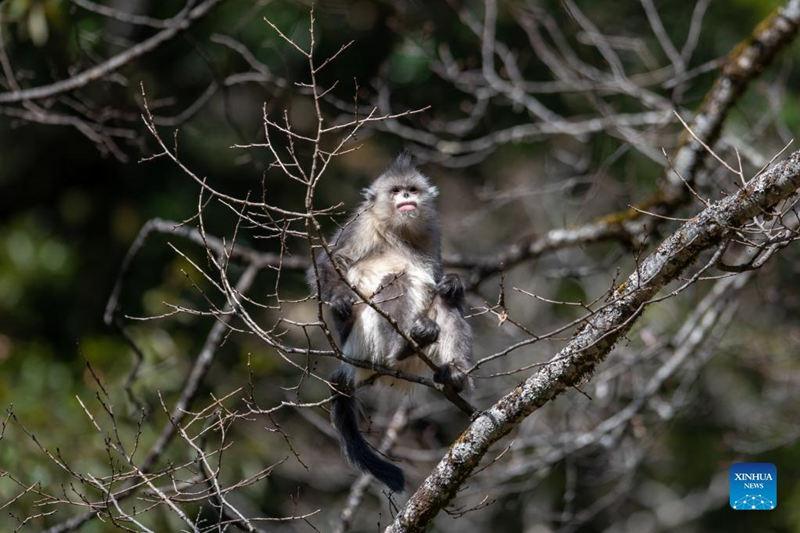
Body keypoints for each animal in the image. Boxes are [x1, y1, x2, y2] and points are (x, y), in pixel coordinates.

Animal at [310, 153, 472, 490]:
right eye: (396, 190)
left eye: (412, 189)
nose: (407, 197)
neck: (399, 231)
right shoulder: (361, 224)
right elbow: (331, 263)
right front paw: (340, 301)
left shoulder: (432, 231)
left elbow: (439, 281)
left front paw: (453, 282)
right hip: (364, 343)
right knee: (395, 280)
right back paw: (402, 348)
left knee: (445, 303)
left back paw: (454, 373)